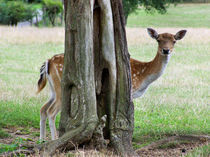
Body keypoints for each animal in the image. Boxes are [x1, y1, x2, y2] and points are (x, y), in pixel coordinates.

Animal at [36, 27, 187, 140]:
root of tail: (49, 61)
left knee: (43, 108)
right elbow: (128, 116)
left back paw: (42, 140)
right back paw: (54, 139)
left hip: (53, 89)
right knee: (50, 111)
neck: (144, 76)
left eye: (174, 41)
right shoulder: (128, 90)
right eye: (158, 40)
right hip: (63, 87)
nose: (166, 50)